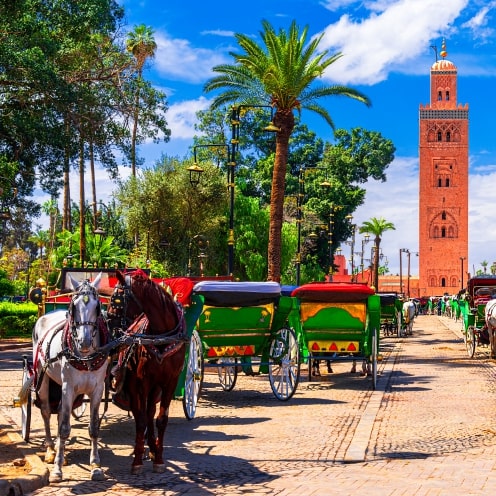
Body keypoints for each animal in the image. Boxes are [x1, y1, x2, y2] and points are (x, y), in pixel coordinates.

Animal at [28, 273, 108, 482]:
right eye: (74, 307)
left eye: (98, 307)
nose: (84, 342)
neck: (85, 358)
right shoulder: (68, 386)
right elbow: (64, 428)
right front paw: (57, 470)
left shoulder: (97, 389)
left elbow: (93, 427)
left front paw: (96, 465)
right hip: (43, 380)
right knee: (47, 411)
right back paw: (50, 450)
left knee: (58, 412)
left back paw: (57, 449)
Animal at [108, 269, 188, 474]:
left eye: (116, 298)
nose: (108, 322)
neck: (162, 337)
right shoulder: (142, 380)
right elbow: (142, 418)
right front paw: (137, 460)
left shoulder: (170, 381)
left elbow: (161, 419)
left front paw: (158, 457)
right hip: (135, 384)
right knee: (140, 414)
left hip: (155, 387)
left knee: (150, 411)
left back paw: (151, 448)